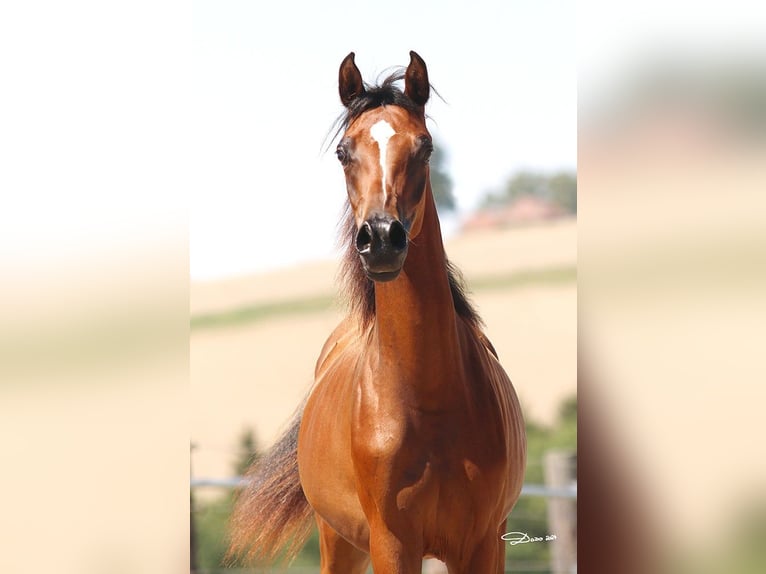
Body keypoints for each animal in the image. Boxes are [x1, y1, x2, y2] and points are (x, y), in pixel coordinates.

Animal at [228, 51, 528, 572]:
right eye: (343, 151)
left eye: (425, 147)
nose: (382, 239)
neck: (428, 401)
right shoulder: (392, 542)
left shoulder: (482, 543)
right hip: (338, 541)